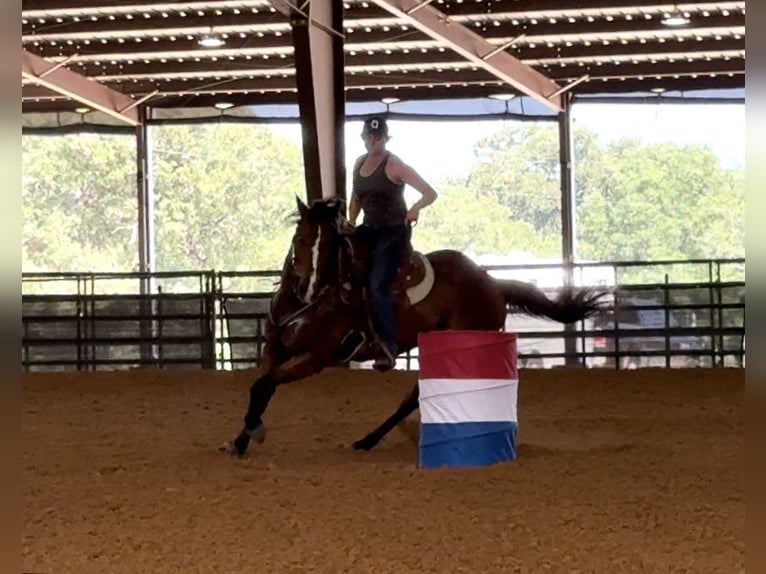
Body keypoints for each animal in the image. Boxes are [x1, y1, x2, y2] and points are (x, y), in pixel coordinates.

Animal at [220, 198, 608, 460]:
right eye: (300, 237)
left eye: (329, 243)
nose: (308, 287)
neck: (303, 306)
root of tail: (492, 284)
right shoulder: (274, 349)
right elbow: (261, 388)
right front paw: (240, 439)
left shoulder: (314, 359)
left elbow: (265, 386)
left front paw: (252, 432)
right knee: (417, 396)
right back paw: (372, 440)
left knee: (425, 395)